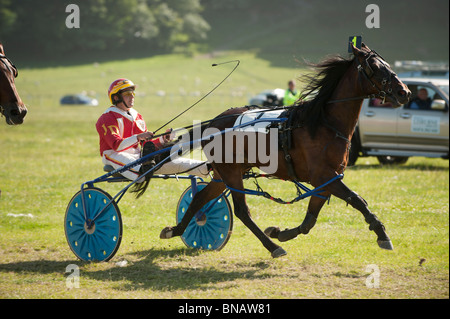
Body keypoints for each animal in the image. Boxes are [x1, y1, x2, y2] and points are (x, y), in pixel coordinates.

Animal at [158, 43, 412, 258]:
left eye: (388, 65)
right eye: (376, 67)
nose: (405, 92)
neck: (324, 123)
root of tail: (215, 122)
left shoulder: (327, 181)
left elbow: (310, 221)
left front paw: (280, 232)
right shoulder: (324, 176)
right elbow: (358, 200)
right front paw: (382, 234)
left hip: (225, 174)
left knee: (200, 198)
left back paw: (177, 229)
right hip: (230, 172)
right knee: (241, 211)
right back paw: (272, 247)